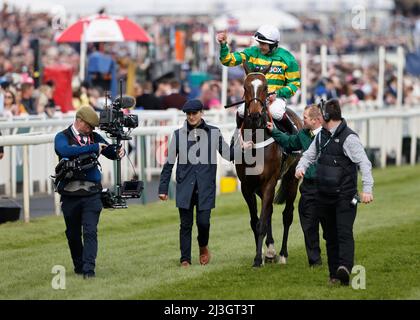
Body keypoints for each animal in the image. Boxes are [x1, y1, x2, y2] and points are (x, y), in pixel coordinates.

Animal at [235, 62, 304, 268]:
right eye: (245, 87)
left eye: (265, 88)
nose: (255, 114)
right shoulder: (247, 185)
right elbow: (256, 221)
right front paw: (263, 254)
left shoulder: (269, 182)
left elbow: (261, 223)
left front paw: (258, 259)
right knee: (270, 212)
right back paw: (272, 251)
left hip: (291, 178)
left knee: (287, 214)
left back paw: (282, 254)